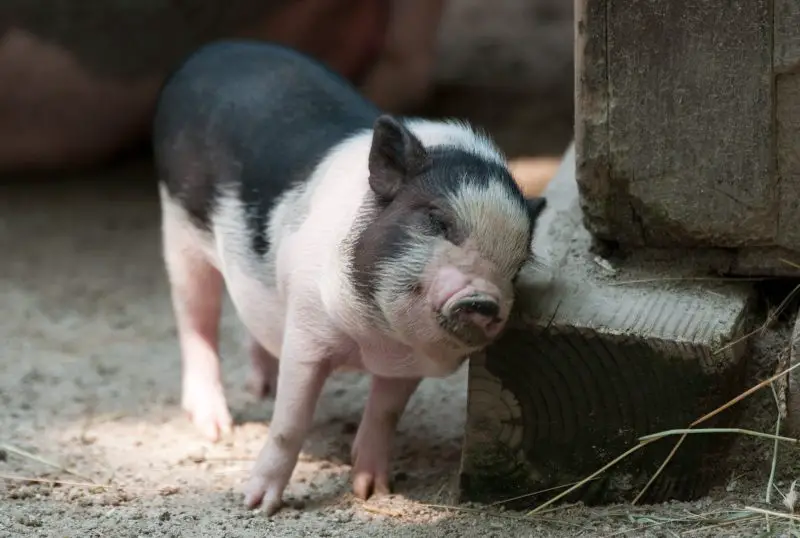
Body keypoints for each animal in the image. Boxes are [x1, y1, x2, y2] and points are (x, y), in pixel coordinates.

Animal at [153, 39, 547, 515]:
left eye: (518, 265)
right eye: (438, 221)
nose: (483, 300)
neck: (373, 340)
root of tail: (210, 52)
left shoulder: (405, 366)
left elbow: (384, 415)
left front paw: (372, 491)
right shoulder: (306, 330)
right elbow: (290, 422)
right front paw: (257, 506)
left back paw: (261, 388)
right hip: (178, 230)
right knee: (197, 319)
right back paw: (216, 427)